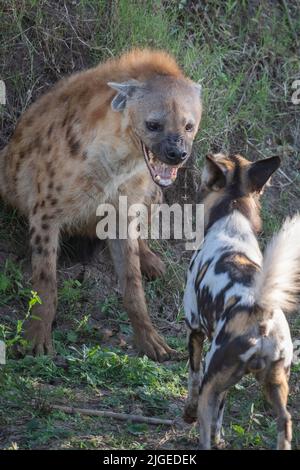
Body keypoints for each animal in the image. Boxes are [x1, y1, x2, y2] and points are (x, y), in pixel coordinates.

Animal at [0, 49, 203, 362]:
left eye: (188, 125)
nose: (177, 153)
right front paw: (37, 340)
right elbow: (46, 281)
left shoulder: (122, 214)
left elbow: (132, 284)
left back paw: (151, 260)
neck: (118, 163)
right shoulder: (45, 213)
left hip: (154, 192)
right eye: (153, 124)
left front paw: (152, 342)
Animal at [183, 153, 300, 448]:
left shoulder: (195, 331)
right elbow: (222, 414)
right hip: (274, 384)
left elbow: (192, 378)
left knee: (204, 422)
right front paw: (221, 438)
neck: (232, 216)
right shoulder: (224, 383)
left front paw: (187, 413)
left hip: (211, 380)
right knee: (286, 420)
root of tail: (262, 317)